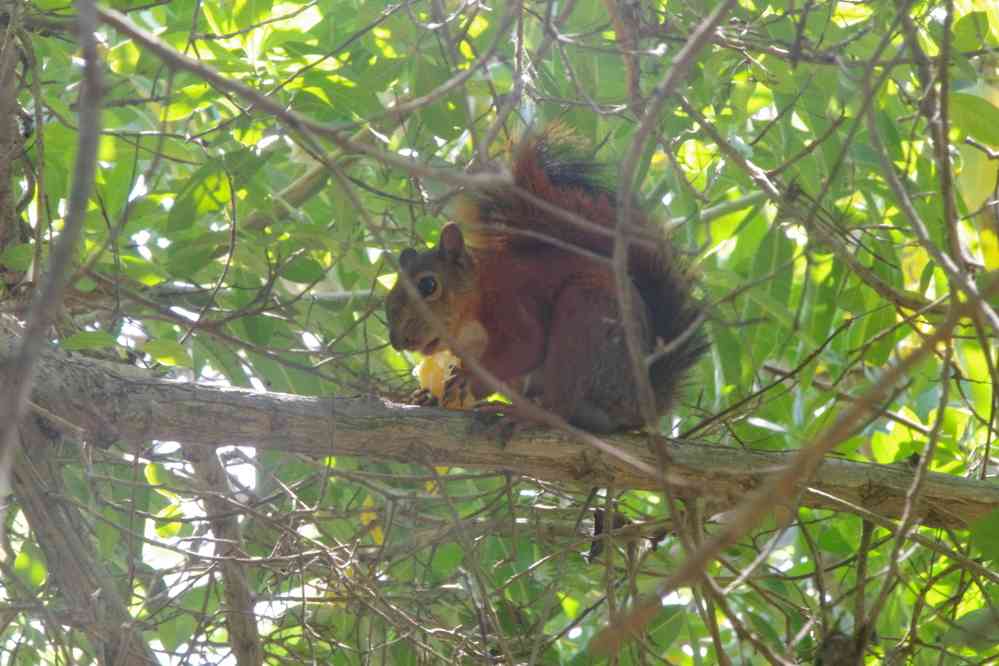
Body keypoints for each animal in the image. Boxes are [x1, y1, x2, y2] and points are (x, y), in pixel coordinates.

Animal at [386, 127, 708, 434]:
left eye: (428, 285)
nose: (397, 341)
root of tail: (636, 407)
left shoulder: (511, 300)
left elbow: (525, 348)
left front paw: (466, 378)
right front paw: (429, 395)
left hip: (583, 318)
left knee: (562, 408)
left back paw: (526, 415)